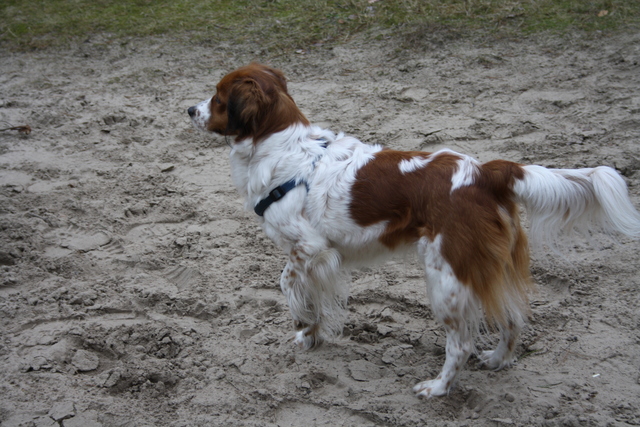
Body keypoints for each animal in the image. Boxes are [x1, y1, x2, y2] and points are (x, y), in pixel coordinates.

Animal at [189, 62, 640, 398]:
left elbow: (290, 286)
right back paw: (497, 361)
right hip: (488, 270)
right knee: (512, 319)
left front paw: (305, 326)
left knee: (461, 344)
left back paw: (437, 388)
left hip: (445, 280)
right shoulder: (317, 257)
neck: (282, 146)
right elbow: (309, 294)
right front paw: (312, 334)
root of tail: (485, 173)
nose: (189, 110)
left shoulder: (310, 249)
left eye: (217, 97)